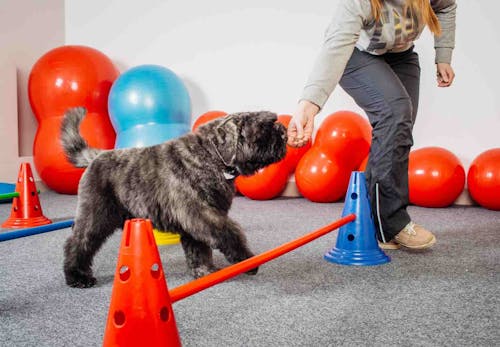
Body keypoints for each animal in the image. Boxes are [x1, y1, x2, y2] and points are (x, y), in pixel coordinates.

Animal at [60, 108, 288, 288]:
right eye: (263, 127)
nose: (284, 134)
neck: (211, 156)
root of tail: (96, 156)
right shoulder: (203, 215)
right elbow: (230, 234)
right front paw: (246, 259)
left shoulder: (195, 222)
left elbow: (198, 249)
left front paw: (204, 272)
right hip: (95, 216)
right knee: (78, 243)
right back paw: (77, 276)